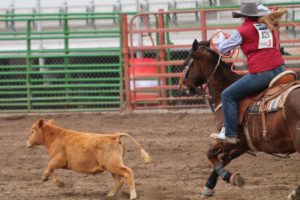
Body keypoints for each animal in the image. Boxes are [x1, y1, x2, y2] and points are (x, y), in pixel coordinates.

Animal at [178, 39, 300, 198]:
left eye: (185, 63)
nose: (181, 86)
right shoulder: (242, 145)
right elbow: (222, 160)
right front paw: (208, 187)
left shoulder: (230, 140)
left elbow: (211, 154)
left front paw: (230, 177)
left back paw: (295, 193)